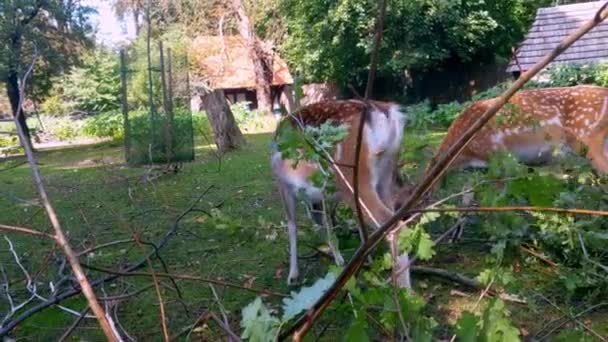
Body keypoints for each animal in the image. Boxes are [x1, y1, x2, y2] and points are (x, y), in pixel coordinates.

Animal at [272, 100, 410, 288]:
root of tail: (385, 112)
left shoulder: (283, 185)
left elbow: (292, 226)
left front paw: (293, 276)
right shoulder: (323, 191)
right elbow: (331, 220)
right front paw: (352, 258)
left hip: (351, 177)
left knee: (395, 226)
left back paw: (404, 292)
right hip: (386, 175)